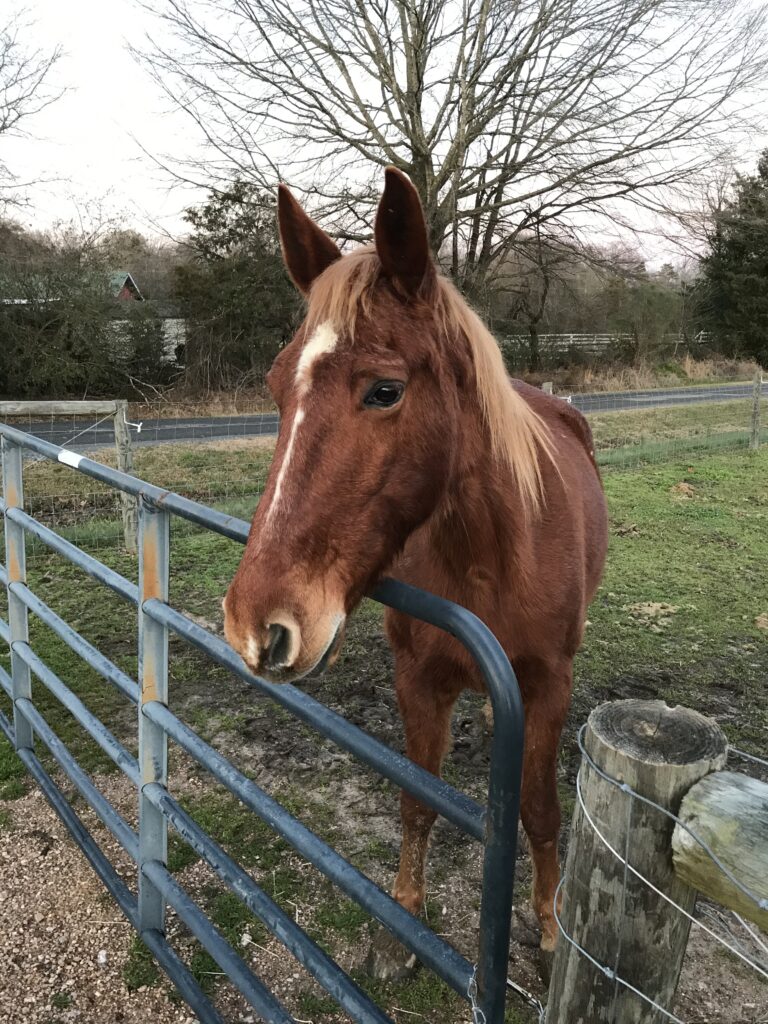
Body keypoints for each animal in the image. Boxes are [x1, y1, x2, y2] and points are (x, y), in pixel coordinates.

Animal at [225, 165, 610, 958]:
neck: (490, 558)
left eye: (385, 390)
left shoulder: (548, 688)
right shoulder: (418, 680)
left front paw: (549, 922)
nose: (255, 624)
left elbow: (540, 811)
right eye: (277, 387)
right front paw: (405, 918)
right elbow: (416, 800)